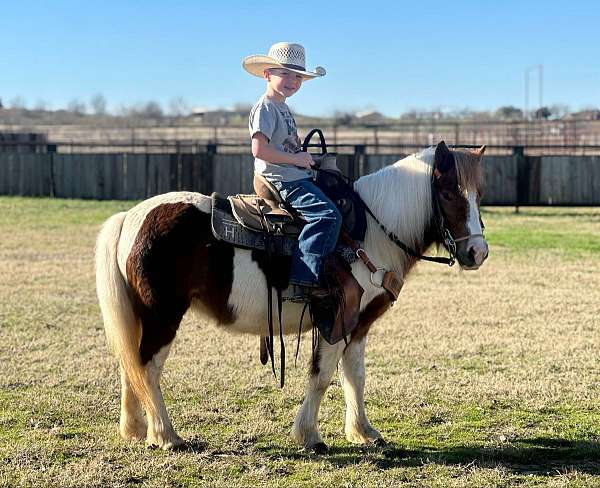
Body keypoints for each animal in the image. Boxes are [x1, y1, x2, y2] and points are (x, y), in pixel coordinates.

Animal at [94, 140, 488, 450]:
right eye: (448, 193)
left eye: (478, 195)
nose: (477, 253)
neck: (370, 233)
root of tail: (130, 216)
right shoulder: (335, 319)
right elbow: (322, 375)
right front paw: (309, 435)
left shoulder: (358, 325)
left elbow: (355, 375)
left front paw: (363, 431)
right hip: (163, 314)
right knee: (147, 366)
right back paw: (166, 435)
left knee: (130, 362)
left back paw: (136, 428)